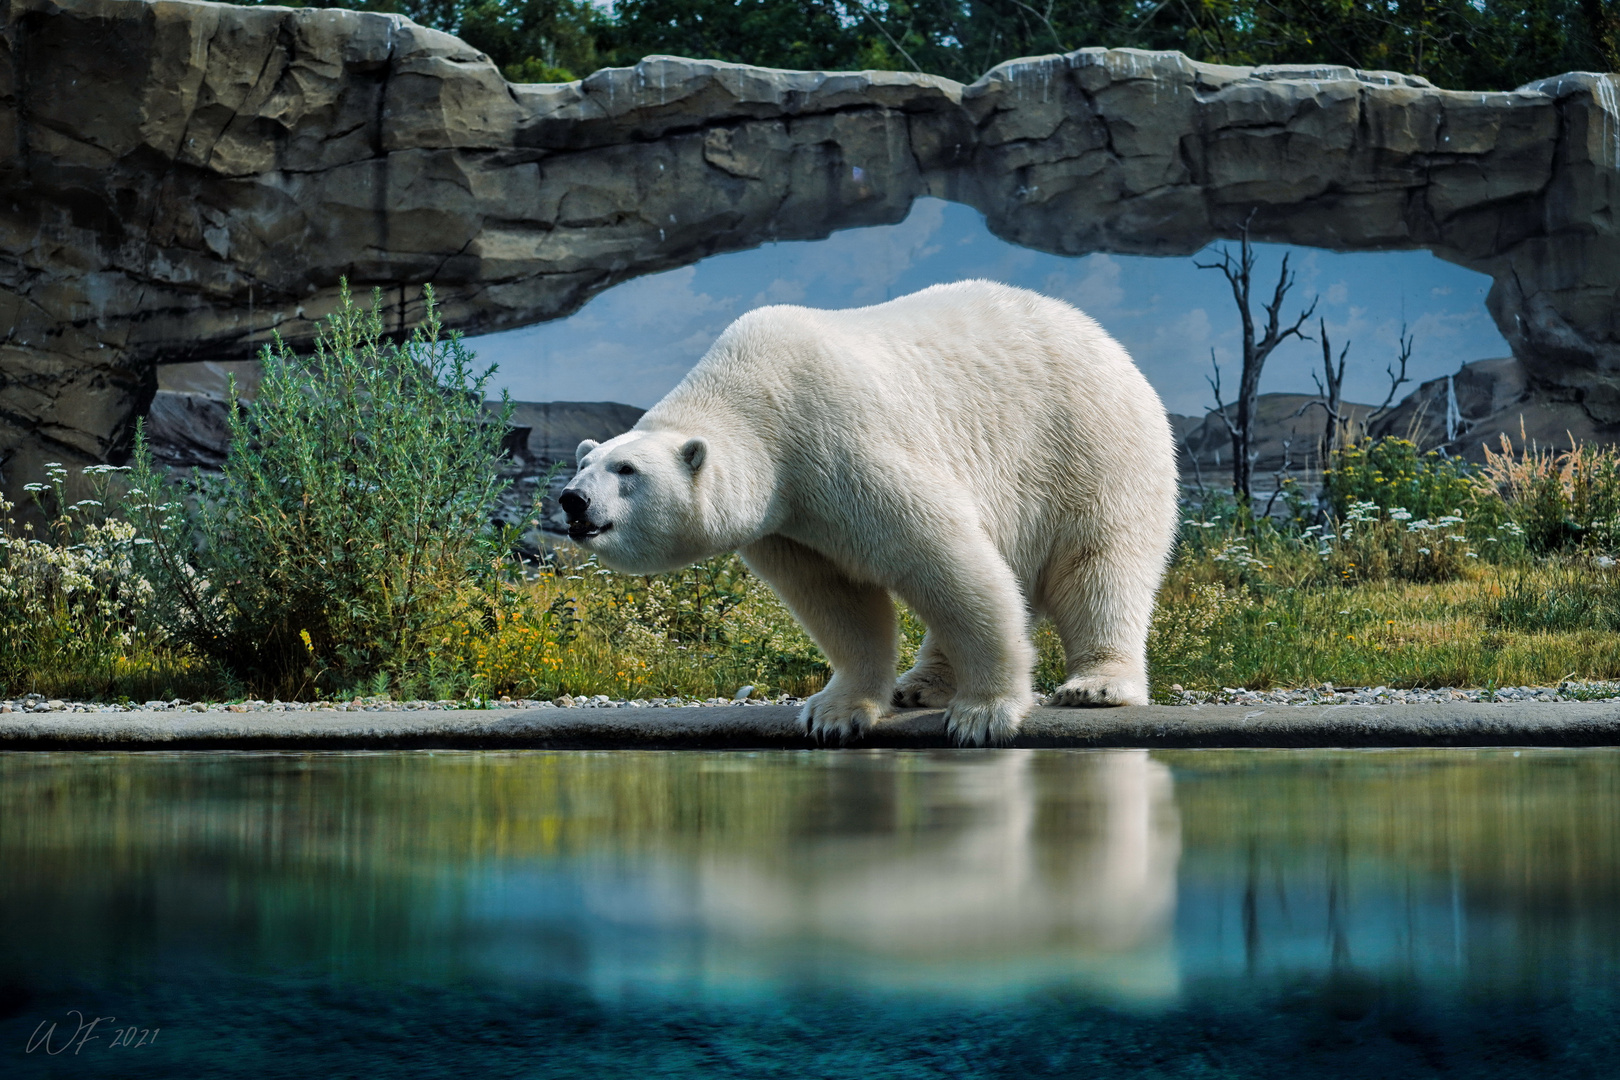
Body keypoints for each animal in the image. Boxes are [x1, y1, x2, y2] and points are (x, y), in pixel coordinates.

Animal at [560, 278, 1179, 744]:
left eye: (626, 470)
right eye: (583, 463)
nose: (573, 501)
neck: (756, 403)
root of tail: (1104, 340)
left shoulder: (840, 443)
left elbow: (942, 556)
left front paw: (984, 713)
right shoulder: (788, 518)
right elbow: (838, 597)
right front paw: (834, 713)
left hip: (1088, 445)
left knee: (1098, 566)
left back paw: (1095, 686)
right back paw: (921, 684)